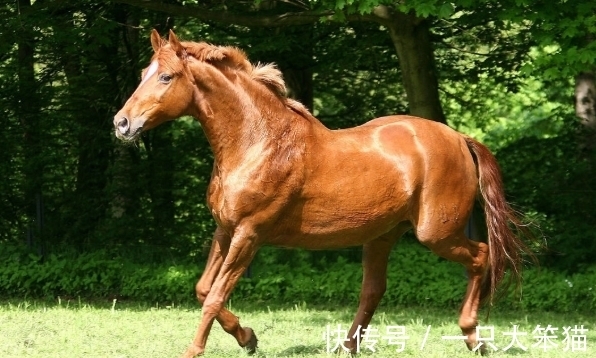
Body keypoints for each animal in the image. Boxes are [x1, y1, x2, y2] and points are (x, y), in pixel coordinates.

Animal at [114, 29, 532, 356]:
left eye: (166, 77)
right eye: (144, 73)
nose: (122, 123)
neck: (258, 142)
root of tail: (460, 138)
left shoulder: (249, 233)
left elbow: (215, 296)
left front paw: (194, 350)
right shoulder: (225, 230)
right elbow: (203, 290)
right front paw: (248, 337)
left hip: (436, 233)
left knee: (481, 257)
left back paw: (473, 337)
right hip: (382, 235)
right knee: (373, 290)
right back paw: (347, 347)